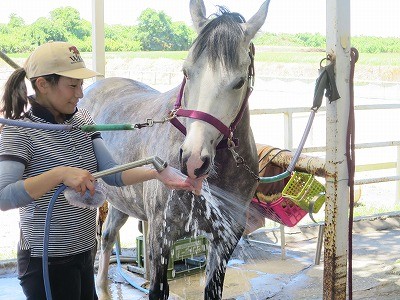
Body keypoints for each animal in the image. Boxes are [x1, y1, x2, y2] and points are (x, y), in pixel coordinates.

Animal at [79, 1, 270, 298]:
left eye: (239, 81)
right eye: (186, 72)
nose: (193, 161)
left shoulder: (225, 238)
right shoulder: (161, 234)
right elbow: (158, 288)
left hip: (121, 200)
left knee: (108, 237)